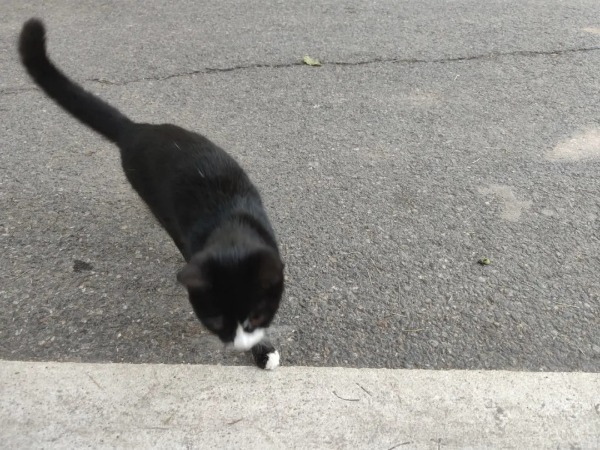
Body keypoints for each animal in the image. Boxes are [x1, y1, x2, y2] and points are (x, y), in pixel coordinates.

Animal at [18, 18, 284, 370]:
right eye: (215, 321)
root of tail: (135, 129)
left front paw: (263, 348)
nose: (238, 345)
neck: (229, 229)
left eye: (256, 315)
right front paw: (260, 351)